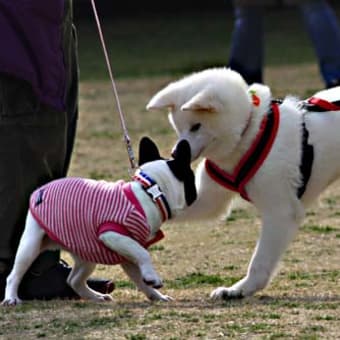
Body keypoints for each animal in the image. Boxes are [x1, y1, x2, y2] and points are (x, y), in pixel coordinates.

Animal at [1, 137, 197, 306]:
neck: (151, 193)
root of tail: (42, 189)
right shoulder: (113, 234)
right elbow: (143, 254)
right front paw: (153, 278)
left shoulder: (127, 253)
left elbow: (140, 278)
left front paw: (157, 295)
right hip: (31, 245)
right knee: (14, 274)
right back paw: (11, 298)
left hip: (86, 252)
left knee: (74, 280)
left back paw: (96, 296)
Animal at [147, 67, 340, 298]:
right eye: (179, 129)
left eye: (196, 127)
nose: (175, 154)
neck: (250, 132)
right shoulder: (206, 201)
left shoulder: (280, 212)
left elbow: (259, 261)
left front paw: (240, 289)